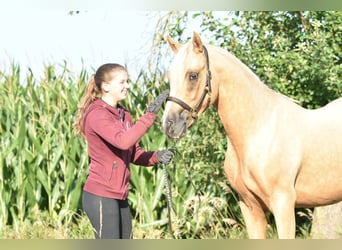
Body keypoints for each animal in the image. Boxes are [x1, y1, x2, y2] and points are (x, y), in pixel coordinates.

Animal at [162, 32, 342, 239]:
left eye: (192, 75)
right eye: (169, 78)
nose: (169, 125)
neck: (259, 130)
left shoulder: (284, 204)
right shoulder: (250, 207)